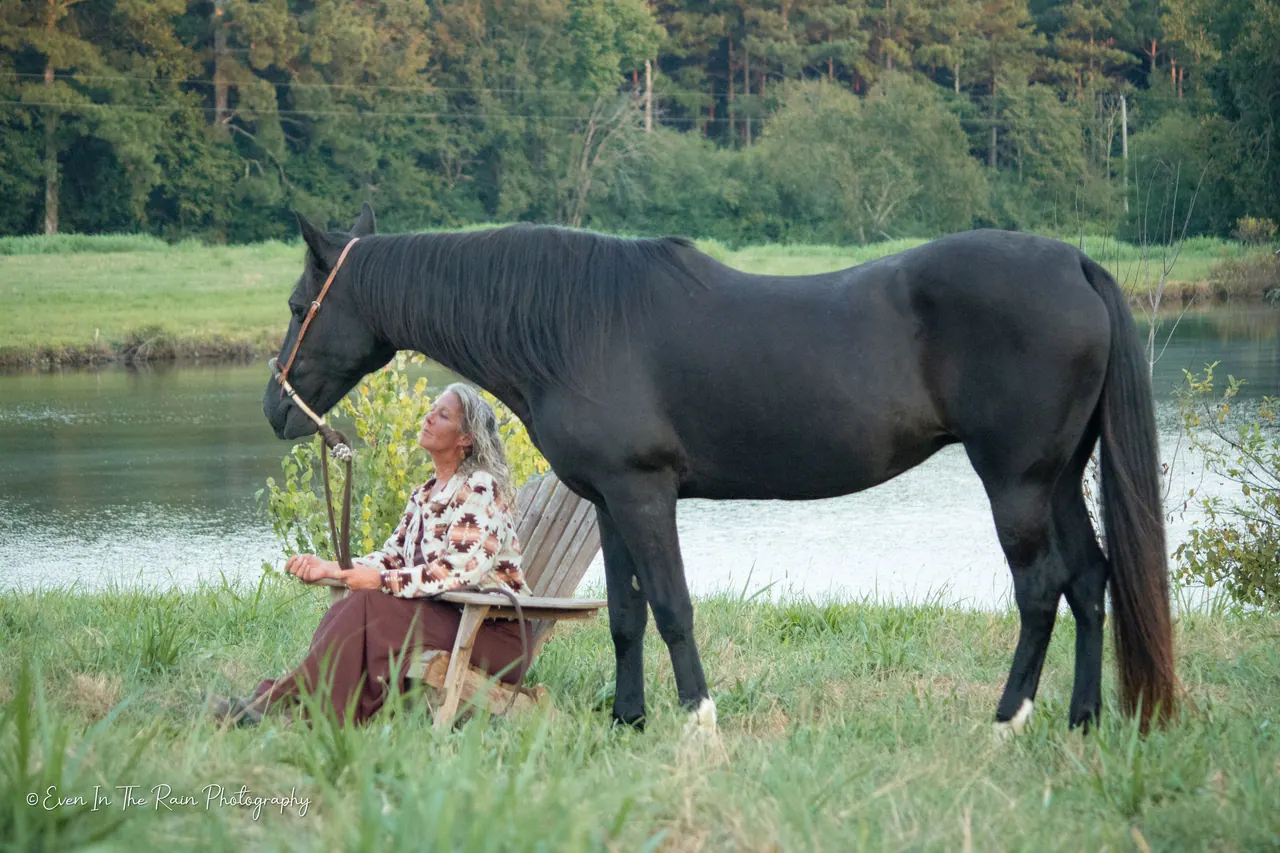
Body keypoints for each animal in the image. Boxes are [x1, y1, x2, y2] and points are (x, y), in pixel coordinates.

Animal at [262, 203, 1177, 734]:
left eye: (301, 306)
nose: (277, 411)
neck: (577, 324)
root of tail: (1075, 264)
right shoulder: (609, 501)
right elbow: (626, 615)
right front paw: (628, 722)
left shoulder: (645, 493)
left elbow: (672, 607)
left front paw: (699, 722)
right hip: (1057, 478)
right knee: (1088, 579)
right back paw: (1082, 721)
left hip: (1015, 480)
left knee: (1041, 589)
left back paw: (1008, 720)